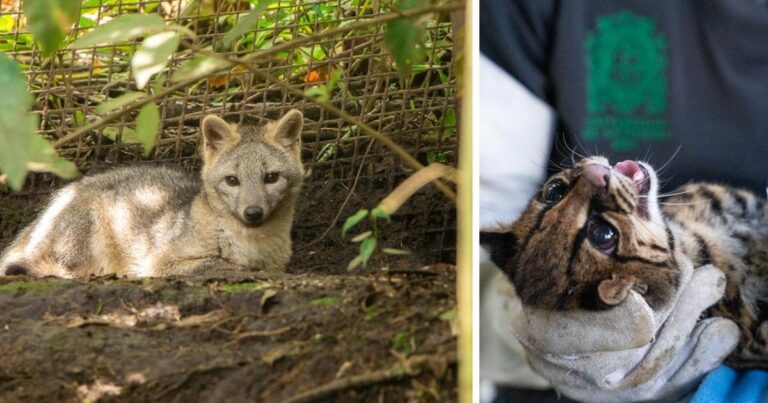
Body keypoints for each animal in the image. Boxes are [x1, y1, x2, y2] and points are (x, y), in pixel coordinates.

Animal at [0, 110, 304, 278]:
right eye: (232, 180)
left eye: (271, 178)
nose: (253, 213)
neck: (251, 245)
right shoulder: (159, 262)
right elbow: (215, 262)